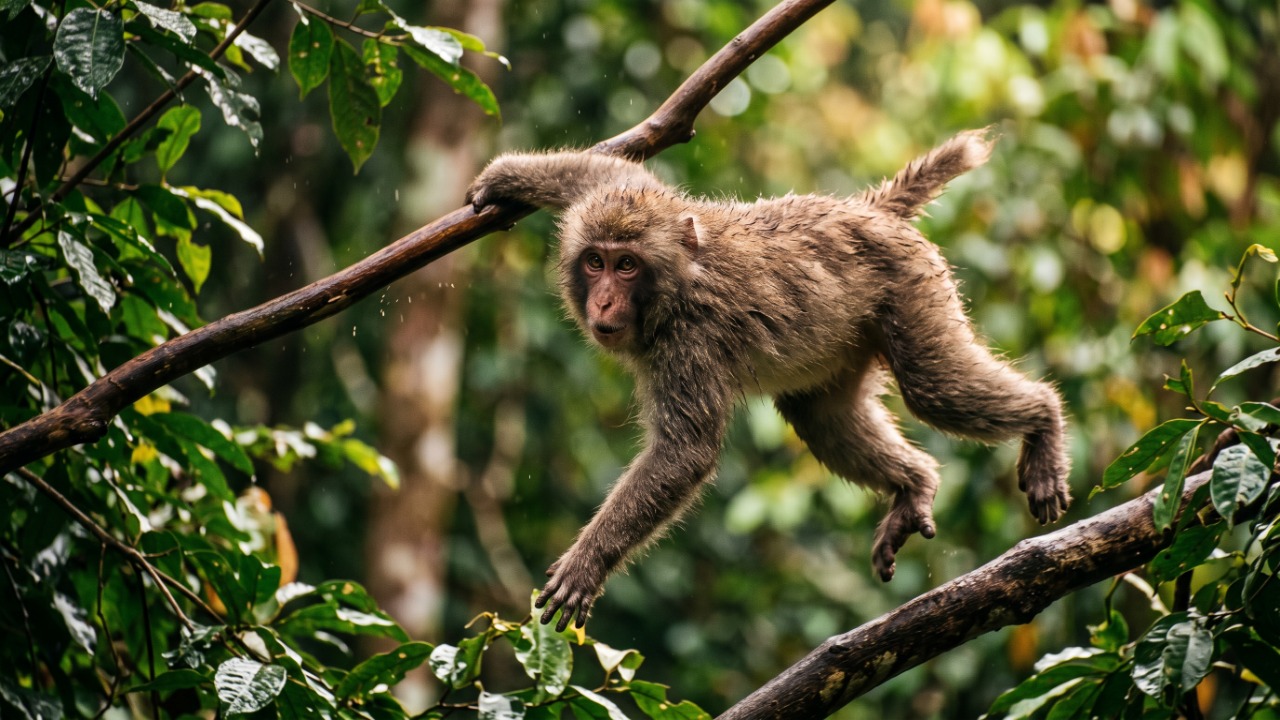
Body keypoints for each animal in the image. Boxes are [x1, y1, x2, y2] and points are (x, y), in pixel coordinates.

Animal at [466, 129, 1070, 631]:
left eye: (626, 266)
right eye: (594, 262)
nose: (604, 302)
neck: (676, 285)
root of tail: (870, 213)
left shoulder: (691, 343)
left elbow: (684, 453)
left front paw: (587, 565)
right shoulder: (649, 208)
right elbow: (615, 175)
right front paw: (506, 175)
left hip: (912, 290)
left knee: (932, 387)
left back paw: (1044, 421)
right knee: (818, 416)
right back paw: (914, 484)